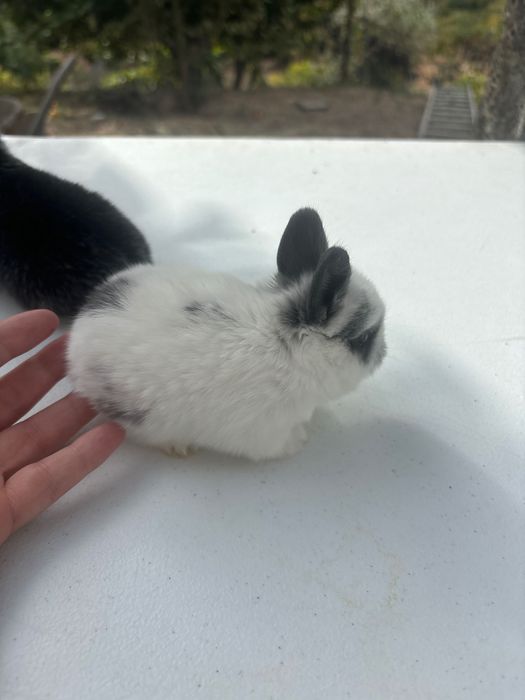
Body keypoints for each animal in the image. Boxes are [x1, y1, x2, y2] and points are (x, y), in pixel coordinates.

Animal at [67, 207, 386, 461]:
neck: (288, 346)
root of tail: (78, 332)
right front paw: (301, 441)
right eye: (364, 338)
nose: (383, 354)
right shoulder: (264, 431)